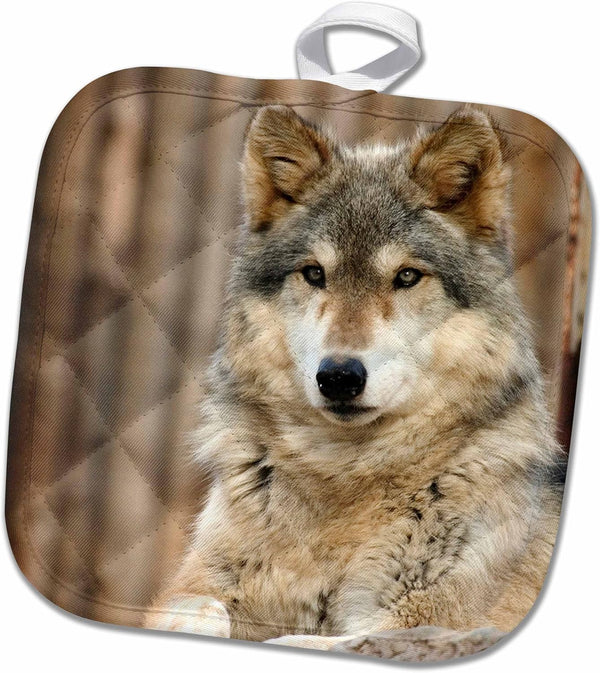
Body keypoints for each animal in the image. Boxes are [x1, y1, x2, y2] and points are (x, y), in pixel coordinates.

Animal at [145, 105, 566, 661]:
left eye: (406, 277)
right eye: (314, 274)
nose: (339, 376)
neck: (343, 479)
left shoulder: (416, 622)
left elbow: (300, 640)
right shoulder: (198, 586)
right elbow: (199, 613)